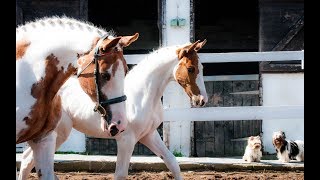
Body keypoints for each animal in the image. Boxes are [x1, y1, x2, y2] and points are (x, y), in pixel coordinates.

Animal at [18, 40, 208, 179]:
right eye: (190, 68)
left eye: (202, 68)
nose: (202, 100)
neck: (143, 94)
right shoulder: (126, 139)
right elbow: (120, 175)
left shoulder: (149, 135)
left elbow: (172, 163)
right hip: (58, 133)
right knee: (29, 160)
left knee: (27, 160)